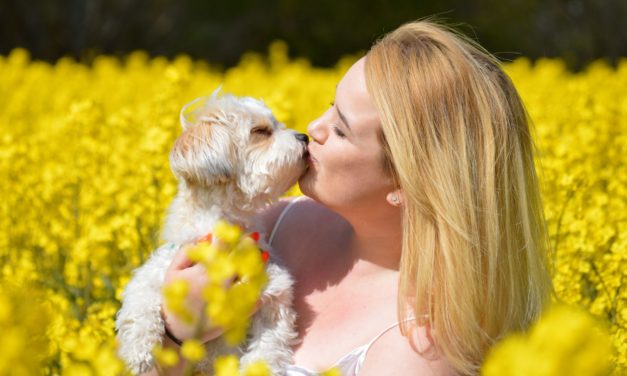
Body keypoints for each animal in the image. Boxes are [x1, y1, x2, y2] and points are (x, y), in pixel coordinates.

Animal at [116, 89, 310, 374]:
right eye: (260, 131)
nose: (305, 137)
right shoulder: (152, 276)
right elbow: (140, 307)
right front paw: (139, 350)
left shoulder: (273, 299)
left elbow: (267, 346)